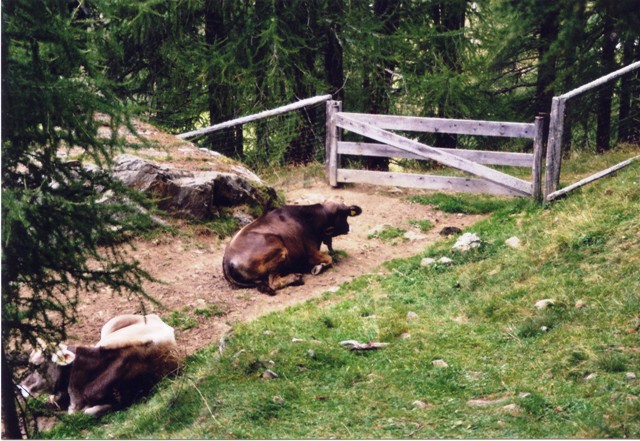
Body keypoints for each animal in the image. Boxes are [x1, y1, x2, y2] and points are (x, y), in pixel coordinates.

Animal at [222, 201, 362, 294]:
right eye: (344, 215)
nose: (349, 228)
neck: (309, 219)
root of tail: (227, 259)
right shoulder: (311, 253)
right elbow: (329, 259)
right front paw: (318, 267)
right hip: (280, 249)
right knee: (274, 283)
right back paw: (295, 277)